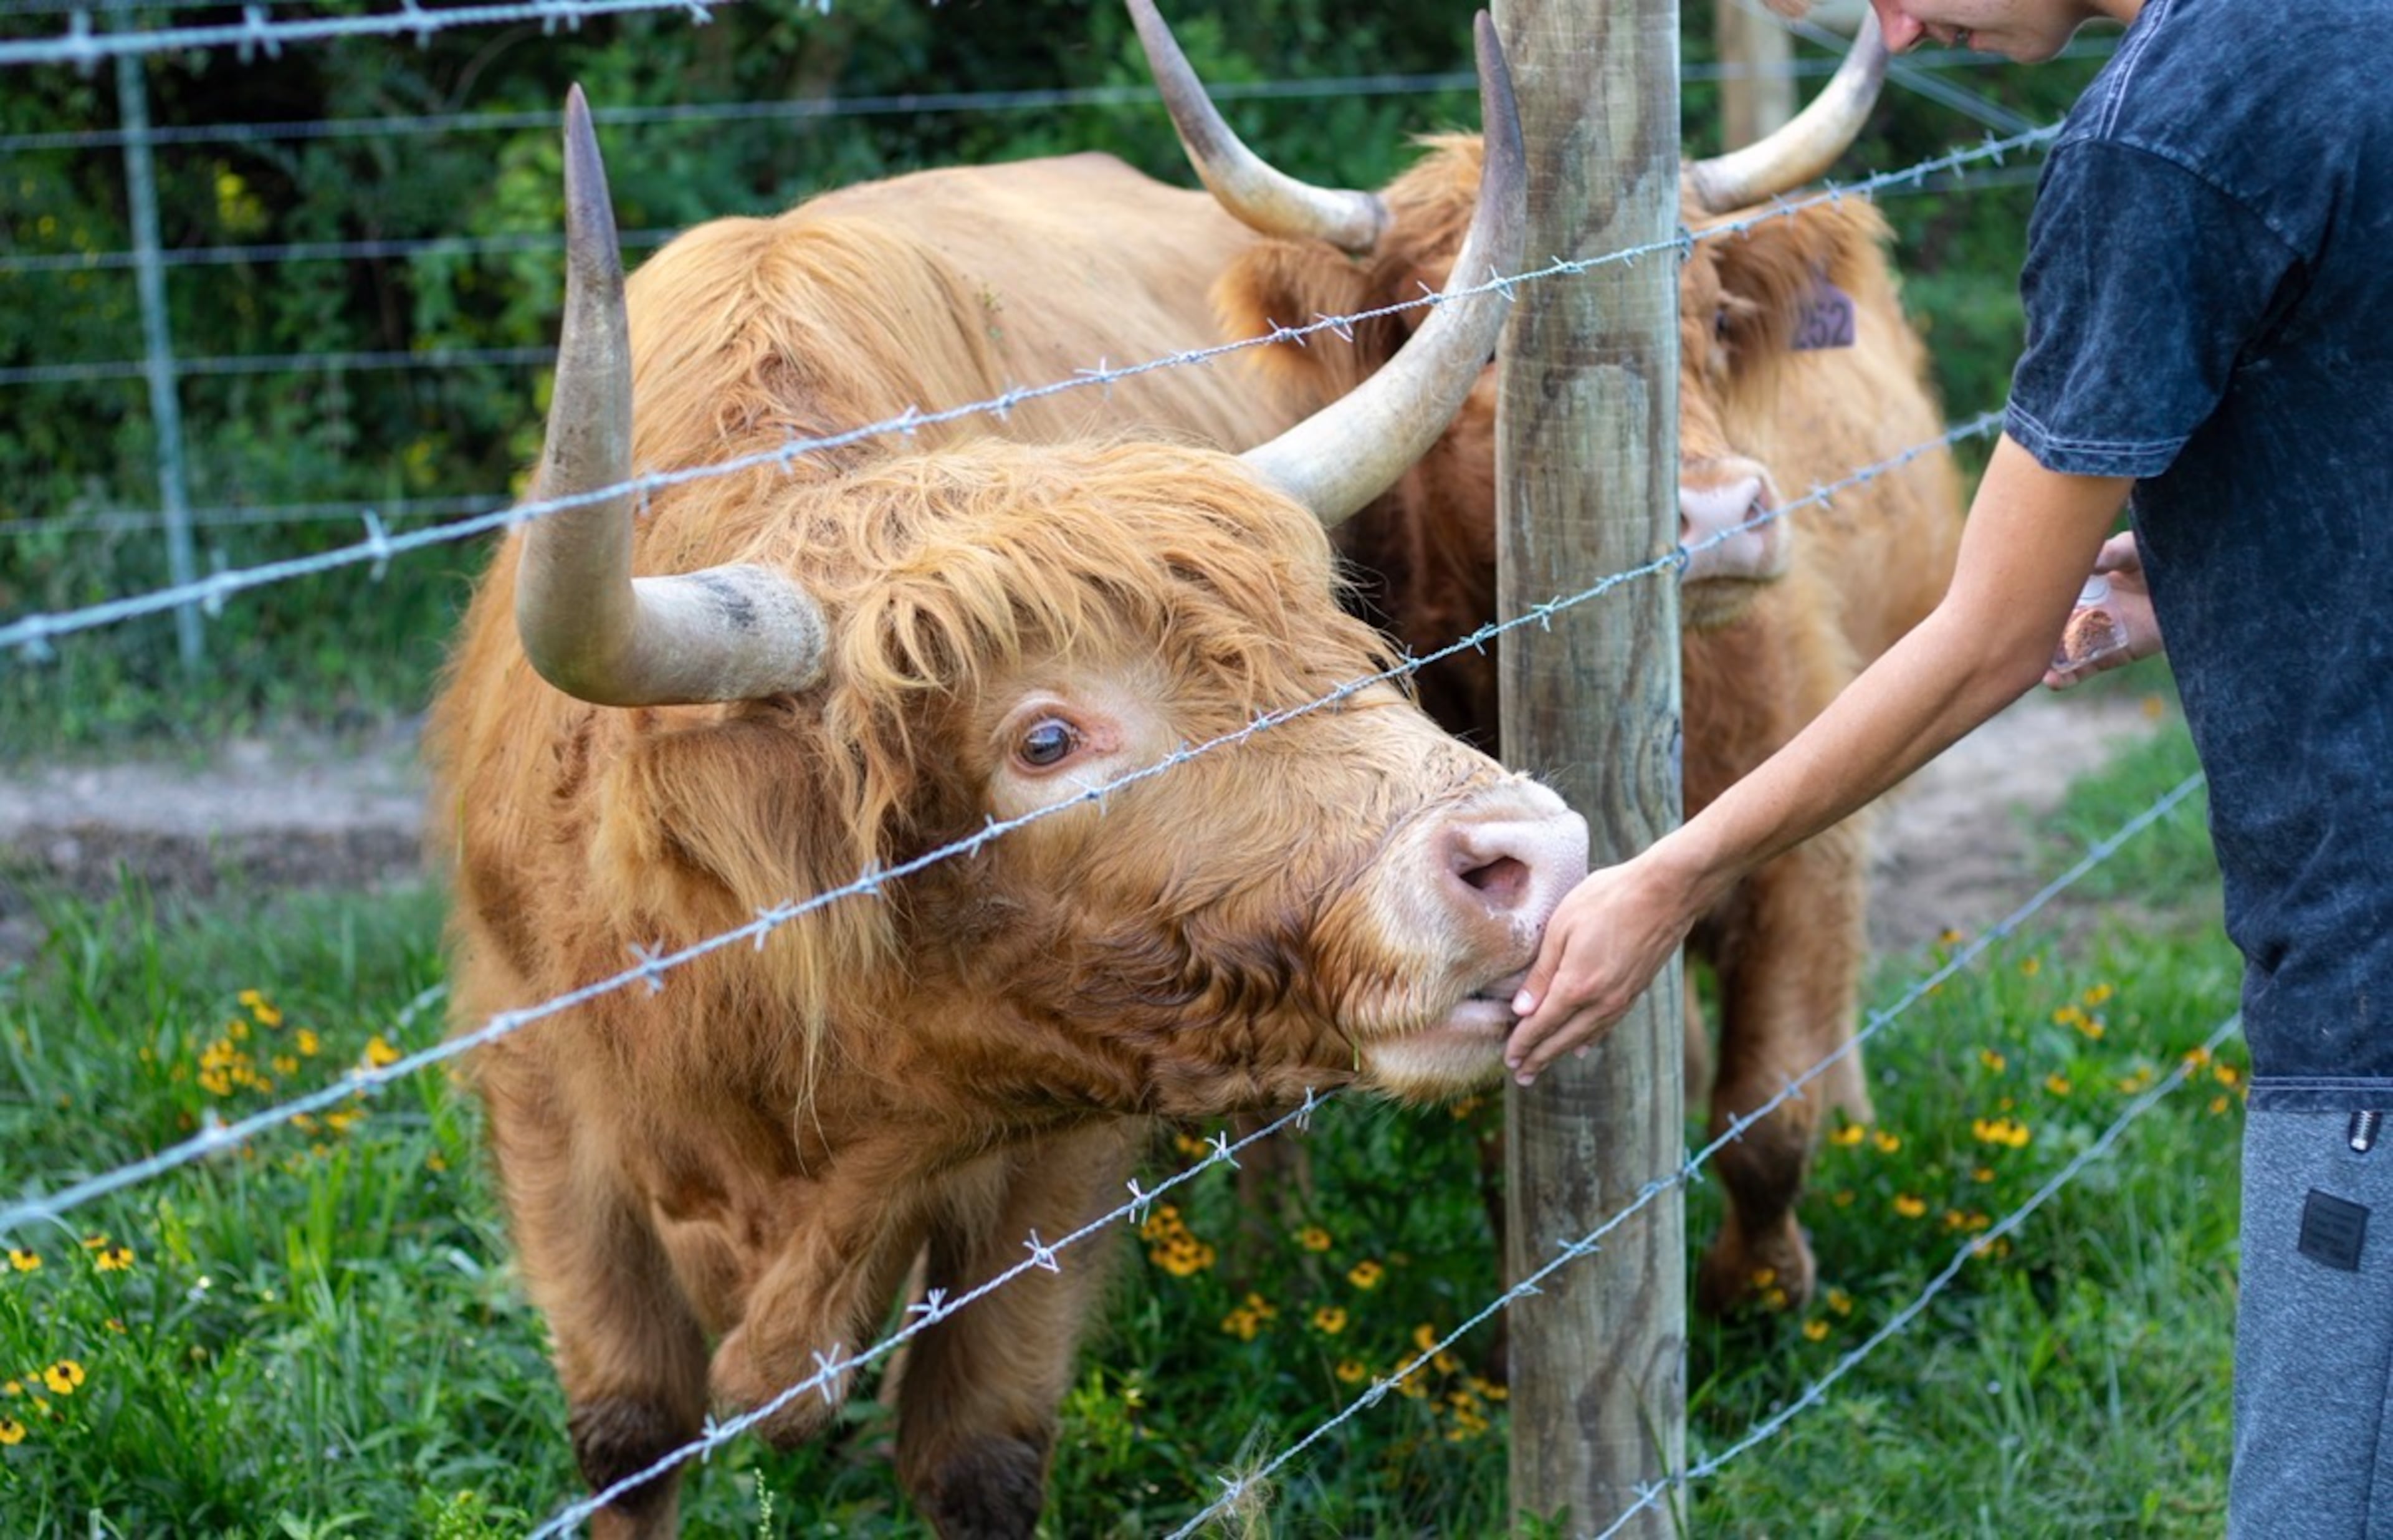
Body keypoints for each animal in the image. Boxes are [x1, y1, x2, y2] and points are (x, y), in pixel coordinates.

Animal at [427, 30, 1592, 1540]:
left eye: (1331, 643)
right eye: (1044, 739)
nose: (1528, 855)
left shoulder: (1056, 1150)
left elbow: (978, 1451)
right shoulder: (548, 1101)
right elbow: (630, 1431)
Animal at [1133, 1, 1965, 1315]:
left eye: (1715, 320)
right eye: (1460, 342)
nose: (1718, 515)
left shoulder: (1809, 850)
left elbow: (1769, 1111)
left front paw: (1762, 1284)